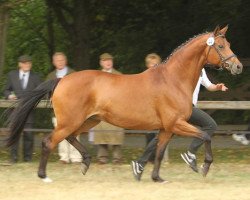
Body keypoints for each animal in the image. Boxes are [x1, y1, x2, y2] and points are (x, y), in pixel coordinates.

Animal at [4, 25, 242, 183]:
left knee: (70, 138)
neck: (173, 79)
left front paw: (156, 177)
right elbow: (205, 136)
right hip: (70, 121)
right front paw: (202, 165)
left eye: (229, 44)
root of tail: (62, 79)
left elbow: (158, 151)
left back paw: (86, 162)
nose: (238, 66)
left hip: (88, 121)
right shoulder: (176, 124)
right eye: (221, 45)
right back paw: (44, 176)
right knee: (48, 142)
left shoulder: (167, 128)